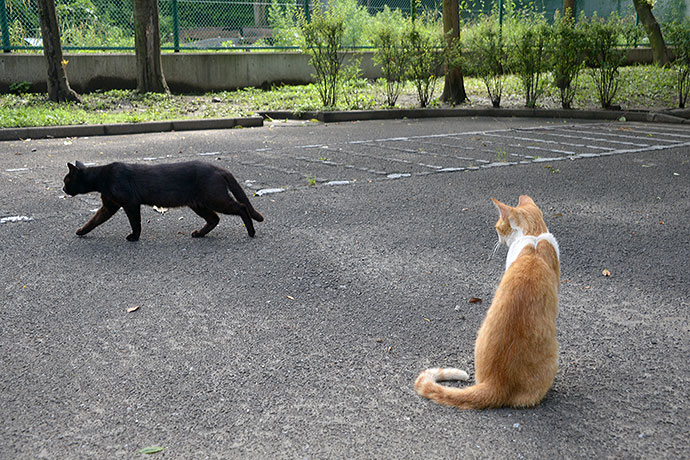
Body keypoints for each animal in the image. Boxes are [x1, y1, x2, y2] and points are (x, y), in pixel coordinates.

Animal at [62, 160, 264, 241]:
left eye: (66, 180)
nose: (63, 189)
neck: (102, 178)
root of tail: (219, 168)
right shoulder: (109, 206)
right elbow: (94, 220)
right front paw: (81, 231)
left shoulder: (130, 203)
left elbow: (135, 223)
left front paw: (134, 237)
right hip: (198, 204)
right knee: (215, 218)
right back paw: (199, 234)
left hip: (215, 198)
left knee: (241, 207)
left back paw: (251, 232)